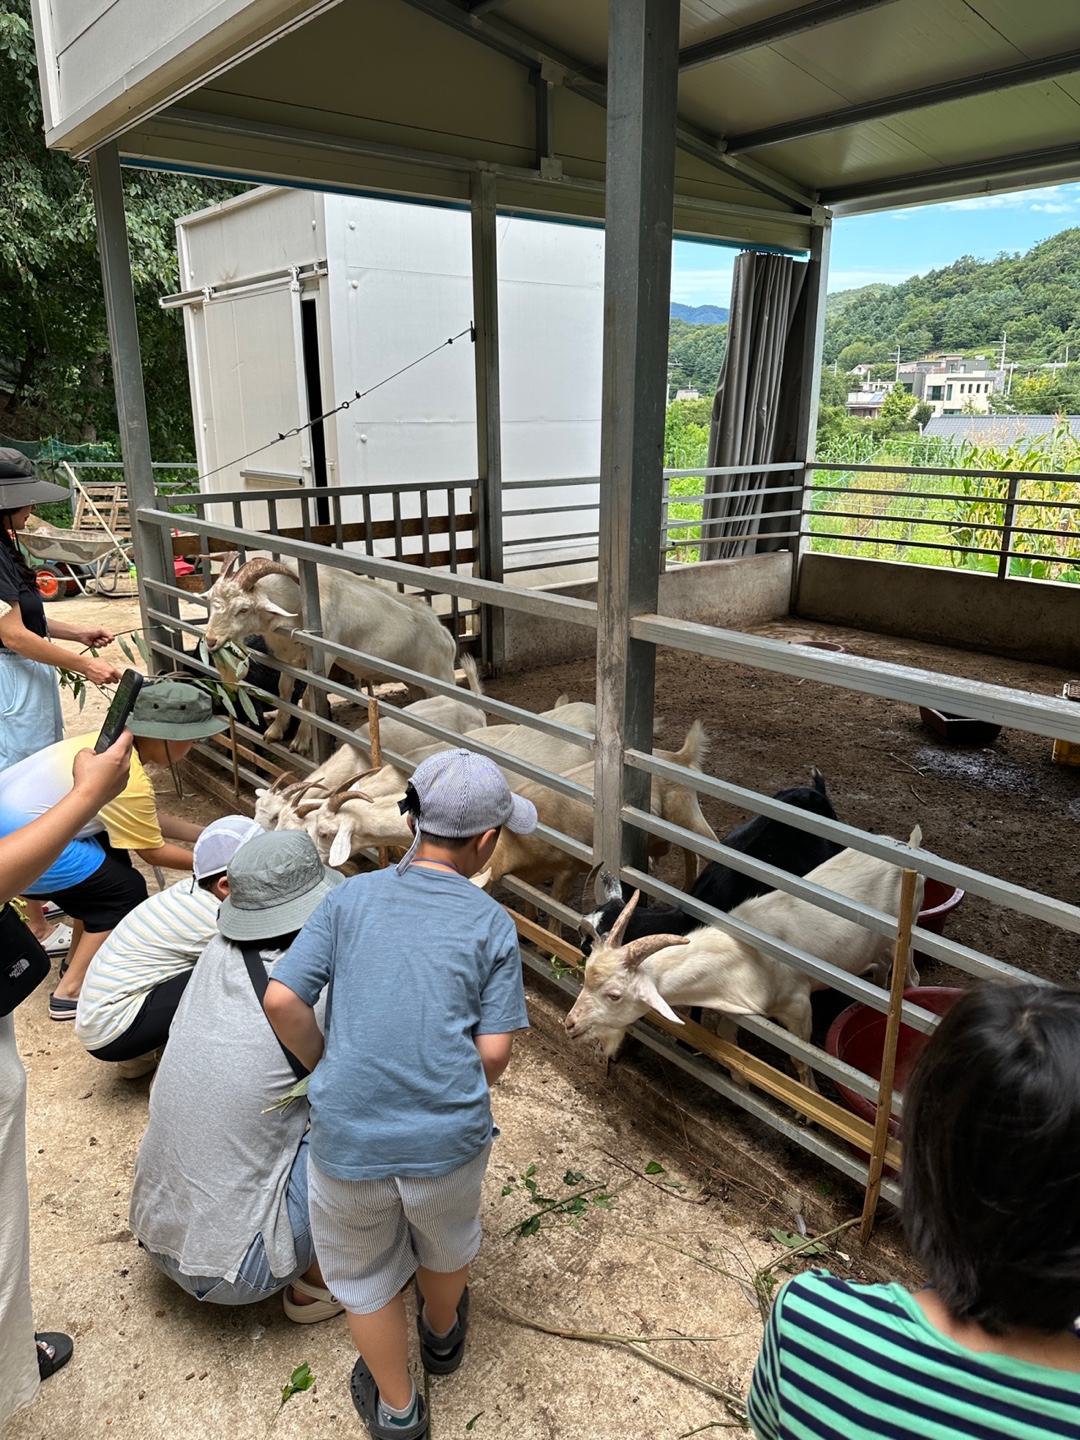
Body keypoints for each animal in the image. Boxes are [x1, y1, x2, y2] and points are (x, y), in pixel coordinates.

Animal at [202, 555, 457, 753]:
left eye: (243, 609)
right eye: (212, 601)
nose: (211, 640)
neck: (297, 602)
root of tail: (446, 637)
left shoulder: (322, 656)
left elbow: (309, 698)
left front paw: (300, 742)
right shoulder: (287, 658)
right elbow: (285, 689)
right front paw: (274, 732)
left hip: (440, 677)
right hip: (416, 686)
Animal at [565, 826, 925, 1090]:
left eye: (614, 995)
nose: (570, 1024)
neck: (743, 953)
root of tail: (909, 845)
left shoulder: (797, 1006)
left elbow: (800, 1057)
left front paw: (808, 1104)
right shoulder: (737, 1006)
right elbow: (729, 1042)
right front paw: (741, 1082)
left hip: (907, 933)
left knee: (911, 975)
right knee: (880, 966)